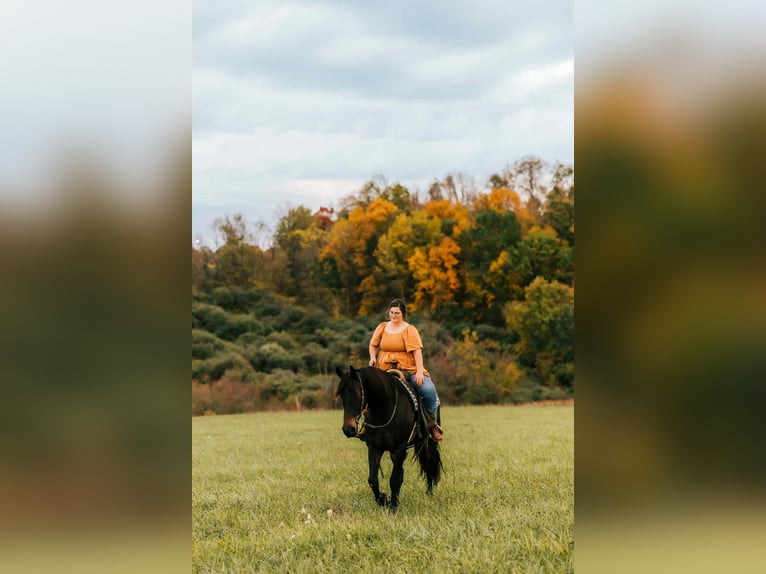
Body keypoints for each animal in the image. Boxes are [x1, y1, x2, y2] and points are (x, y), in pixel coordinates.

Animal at [334, 365, 442, 513]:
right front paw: (383, 499)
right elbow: (373, 480)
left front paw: (393, 507)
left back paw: (429, 493)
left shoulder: (399, 449)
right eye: (342, 395)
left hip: (428, 442)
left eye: (358, 393)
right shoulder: (374, 449)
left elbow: (394, 479)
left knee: (430, 463)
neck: (385, 410)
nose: (348, 429)